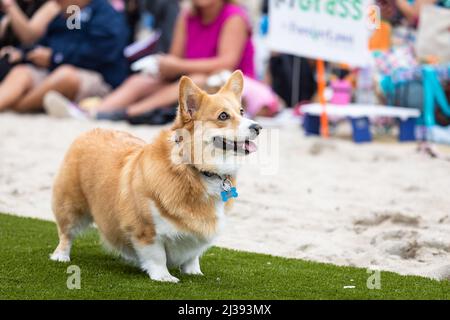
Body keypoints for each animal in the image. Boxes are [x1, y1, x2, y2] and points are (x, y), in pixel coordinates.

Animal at [49, 70, 262, 282]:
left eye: (242, 111)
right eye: (223, 116)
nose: (258, 127)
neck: (195, 169)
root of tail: (92, 130)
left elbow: (193, 256)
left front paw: (194, 272)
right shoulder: (146, 230)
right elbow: (157, 256)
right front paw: (164, 277)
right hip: (71, 206)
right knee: (66, 233)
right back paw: (61, 256)